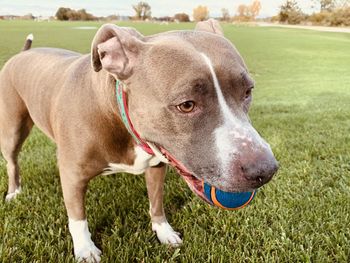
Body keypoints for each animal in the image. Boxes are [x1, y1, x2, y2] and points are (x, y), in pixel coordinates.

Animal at [0, 19, 278, 262]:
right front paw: (85, 249)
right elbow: (77, 216)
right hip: (12, 129)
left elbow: (156, 201)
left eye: (247, 92)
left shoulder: (157, 165)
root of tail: (23, 53)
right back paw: (14, 192)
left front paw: (164, 232)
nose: (265, 170)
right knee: (13, 161)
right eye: (186, 105)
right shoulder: (71, 174)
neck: (116, 113)